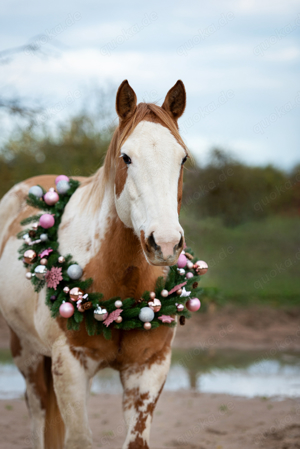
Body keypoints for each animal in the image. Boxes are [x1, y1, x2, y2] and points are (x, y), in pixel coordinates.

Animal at [0, 80, 188, 448]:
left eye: (183, 158)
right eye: (126, 157)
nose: (165, 243)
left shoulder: (149, 368)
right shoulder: (71, 366)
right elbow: (78, 439)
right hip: (28, 355)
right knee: (38, 415)